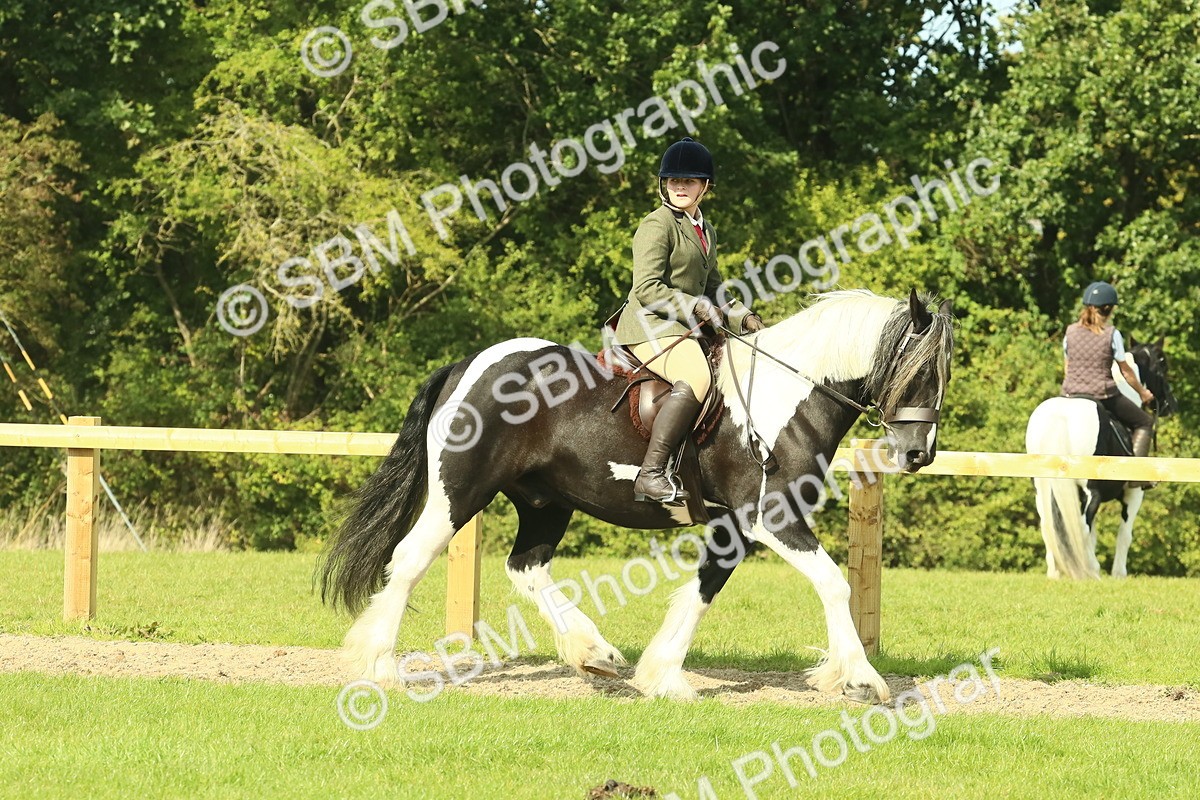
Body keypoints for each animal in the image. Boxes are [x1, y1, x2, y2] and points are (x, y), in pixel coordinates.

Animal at [319, 289, 954, 704]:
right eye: (922, 370)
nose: (919, 452)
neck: (785, 398)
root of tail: (467, 365)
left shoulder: (734, 526)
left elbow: (702, 590)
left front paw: (663, 675)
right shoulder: (772, 517)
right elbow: (833, 582)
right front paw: (861, 679)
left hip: (546, 502)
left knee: (526, 566)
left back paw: (593, 652)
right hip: (462, 489)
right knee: (409, 560)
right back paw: (379, 666)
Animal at [1024, 337, 1177, 579]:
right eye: (1162, 365)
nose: (1171, 405)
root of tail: (1060, 416)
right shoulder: (1133, 494)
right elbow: (1124, 534)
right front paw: (1118, 573)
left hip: (1043, 489)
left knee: (1049, 527)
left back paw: (1057, 572)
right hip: (1090, 492)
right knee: (1081, 528)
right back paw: (1088, 572)